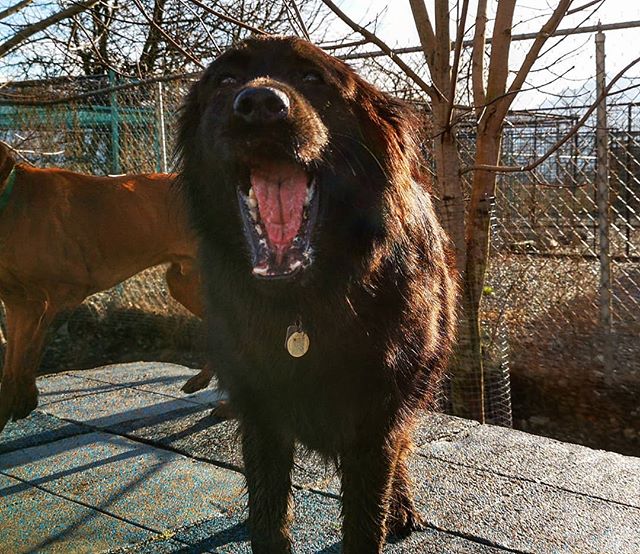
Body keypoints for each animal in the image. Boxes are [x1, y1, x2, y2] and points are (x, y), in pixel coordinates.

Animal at [0, 143, 215, 432]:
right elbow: (11, 368)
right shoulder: (19, 306)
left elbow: (30, 352)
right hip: (182, 282)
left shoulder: (65, 293)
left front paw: (26, 398)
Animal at [176, 36, 456, 548]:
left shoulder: (375, 424)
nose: (260, 105)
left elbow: (365, 523)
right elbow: (269, 518)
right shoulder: (262, 418)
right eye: (225, 80)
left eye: (311, 78)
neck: (302, 306)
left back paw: (401, 505)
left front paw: (388, 510)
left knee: (404, 447)